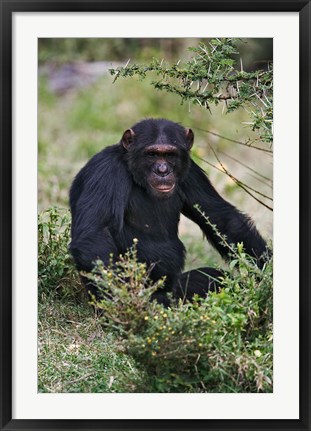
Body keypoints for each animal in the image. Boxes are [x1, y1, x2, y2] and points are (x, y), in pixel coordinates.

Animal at [69, 118, 268, 308]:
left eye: (170, 154)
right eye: (152, 154)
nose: (162, 170)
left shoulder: (191, 171)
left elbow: (220, 218)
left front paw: (266, 276)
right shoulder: (105, 171)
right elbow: (94, 236)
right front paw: (127, 303)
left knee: (213, 277)